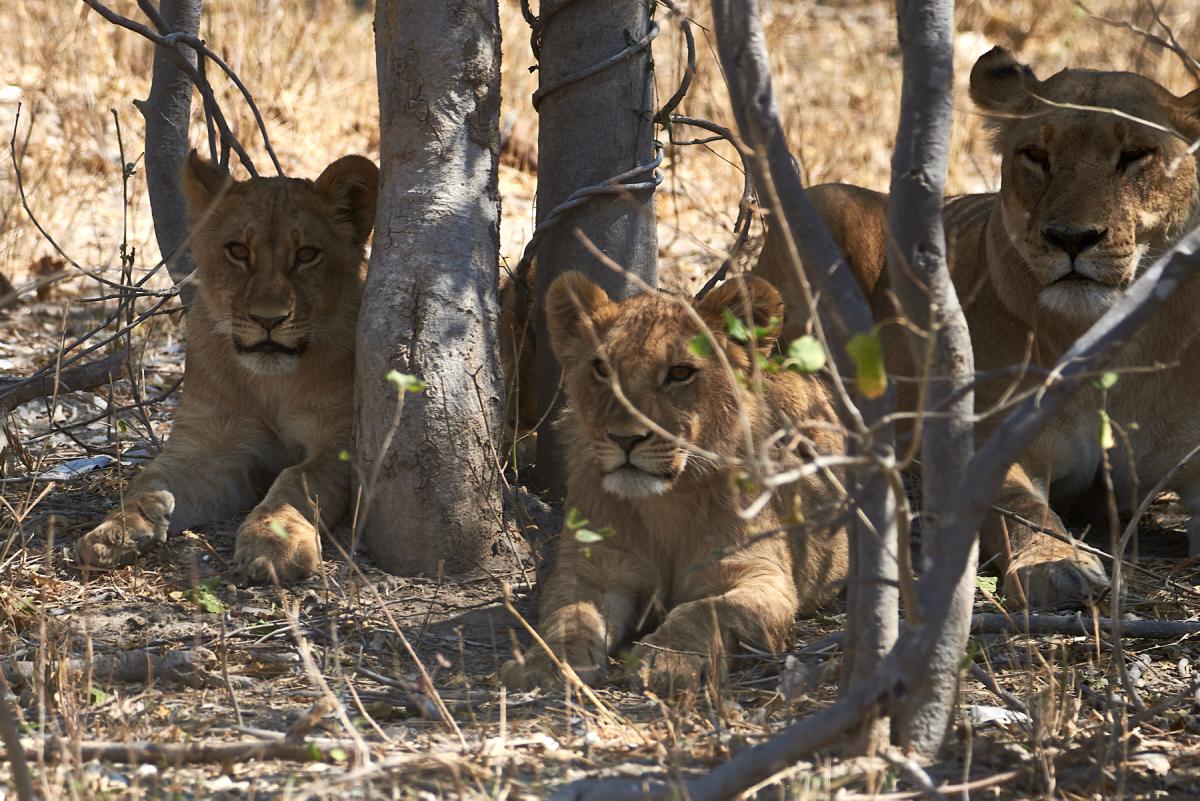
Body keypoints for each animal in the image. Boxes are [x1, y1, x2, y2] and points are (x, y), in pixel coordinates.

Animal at [75, 151, 379, 583]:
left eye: (306, 255)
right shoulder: (210, 444)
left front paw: (274, 544)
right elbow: (148, 479)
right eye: (238, 251)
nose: (269, 319)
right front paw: (114, 531)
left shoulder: (339, 442)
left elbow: (297, 479)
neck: (270, 385)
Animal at [500, 272, 848, 692]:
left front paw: (669, 659)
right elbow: (567, 615)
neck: (665, 502)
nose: (625, 439)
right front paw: (548, 662)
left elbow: (706, 609)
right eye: (602, 368)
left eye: (680, 373)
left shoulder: (760, 573)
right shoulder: (591, 570)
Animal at [756, 46, 1200, 608]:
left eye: (1137, 155)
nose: (1070, 238)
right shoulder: (992, 449)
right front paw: (1057, 565)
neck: (1111, 340)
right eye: (1035, 155)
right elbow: (1024, 511)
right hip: (822, 202)